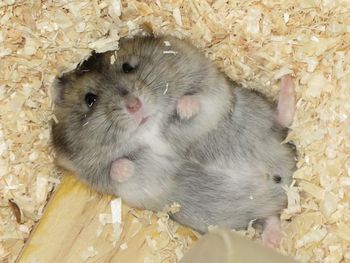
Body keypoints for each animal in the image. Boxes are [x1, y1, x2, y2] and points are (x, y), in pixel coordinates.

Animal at [52, 36, 296, 249]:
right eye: (90, 99)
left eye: (128, 67)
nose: (134, 105)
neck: (150, 128)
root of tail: (284, 178)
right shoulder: (122, 182)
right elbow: (117, 171)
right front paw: (123, 166)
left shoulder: (213, 91)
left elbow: (196, 101)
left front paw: (183, 107)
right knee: (271, 217)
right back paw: (273, 240)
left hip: (256, 112)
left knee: (282, 119)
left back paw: (288, 82)